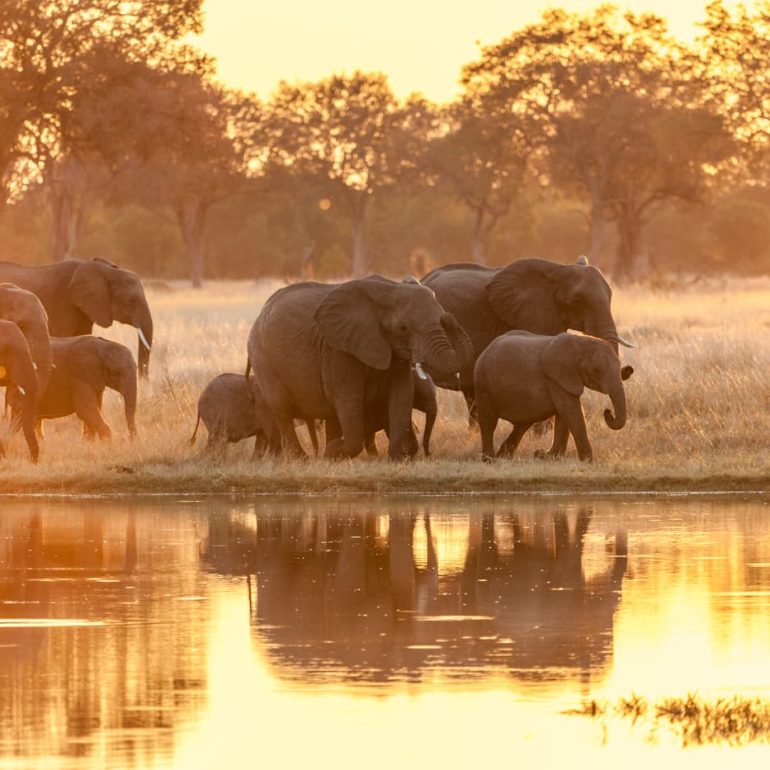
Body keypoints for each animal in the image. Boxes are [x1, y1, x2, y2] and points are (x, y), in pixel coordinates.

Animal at [8, 336, 137, 440]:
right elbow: (84, 409)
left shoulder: (95, 381)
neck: (104, 345)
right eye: (117, 373)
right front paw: (107, 442)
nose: (129, 439)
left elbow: (93, 410)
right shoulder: (80, 373)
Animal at [247, 275, 471, 460]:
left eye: (441, 320)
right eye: (403, 328)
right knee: (282, 408)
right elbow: (348, 398)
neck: (390, 289)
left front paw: (397, 459)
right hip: (263, 359)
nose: (448, 318)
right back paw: (302, 459)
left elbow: (402, 395)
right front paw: (333, 451)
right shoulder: (338, 350)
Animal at [474, 331, 634, 461]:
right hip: (483, 385)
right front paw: (587, 461)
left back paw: (504, 456)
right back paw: (490, 460)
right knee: (489, 422)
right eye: (596, 371)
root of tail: (485, 351)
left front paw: (547, 457)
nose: (607, 412)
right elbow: (571, 411)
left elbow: (564, 415)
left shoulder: (562, 381)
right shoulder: (556, 378)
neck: (580, 342)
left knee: (522, 424)